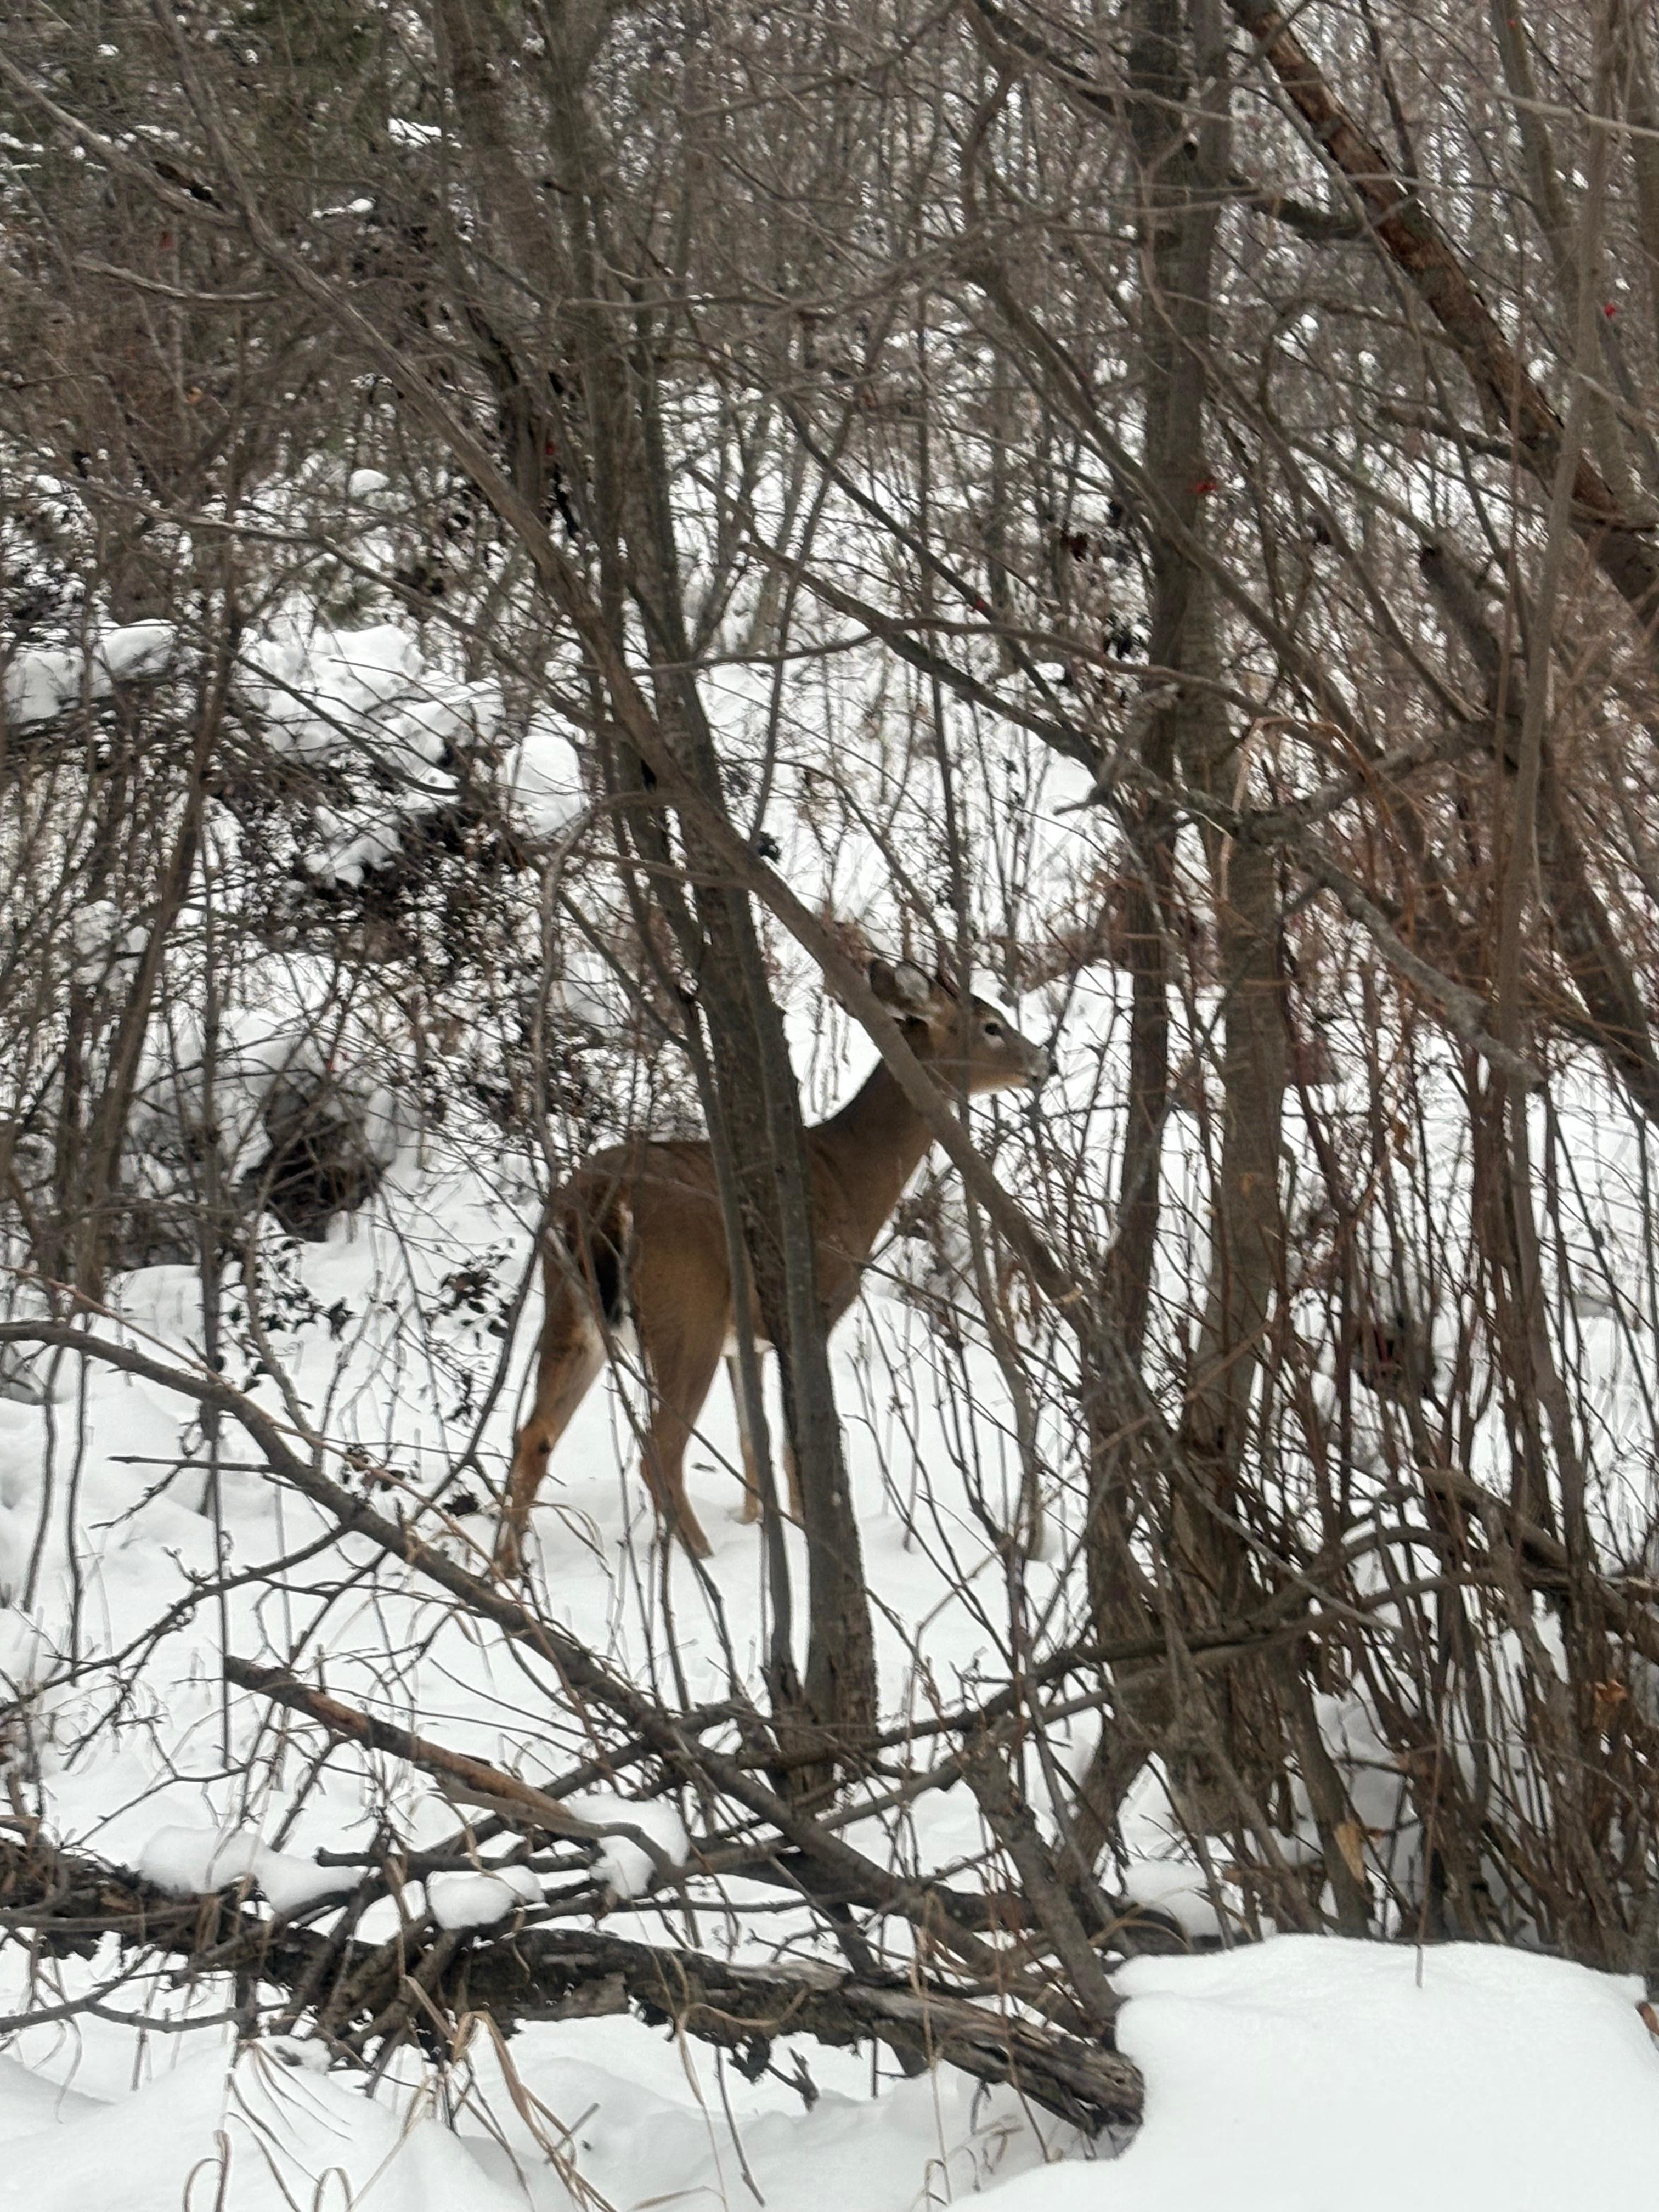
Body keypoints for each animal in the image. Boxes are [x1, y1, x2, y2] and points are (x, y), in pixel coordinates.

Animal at [497, 958, 1050, 1567]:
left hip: (571, 1307)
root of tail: (601, 1197)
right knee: (659, 1450)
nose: (1044, 1062)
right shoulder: (809, 1311)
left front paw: (757, 1521)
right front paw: (806, 1527)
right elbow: (790, 1446)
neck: (847, 1179)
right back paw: (701, 1555)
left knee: (535, 1433)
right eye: (992, 1026)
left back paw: (507, 1568)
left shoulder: (747, 1338)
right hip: (685, 1312)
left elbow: (751, 1436)